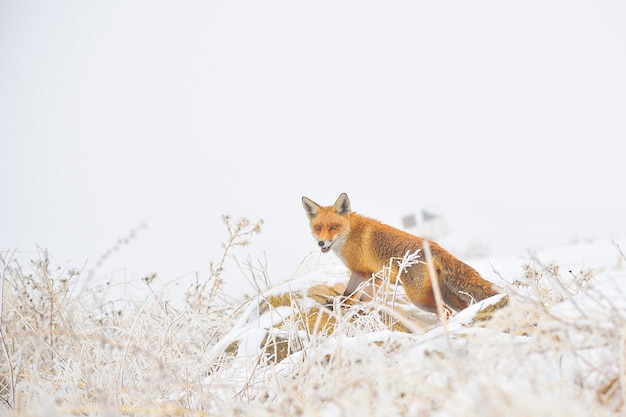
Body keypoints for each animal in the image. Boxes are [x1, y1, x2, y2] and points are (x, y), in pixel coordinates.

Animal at [302, 192, 498, 312]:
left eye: (333, 227)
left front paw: (337, 307)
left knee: (446, 312)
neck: (350, 234)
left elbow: (348, 295)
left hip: (418, 298)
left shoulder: (359, 272)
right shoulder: (376, 277)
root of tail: (435, 245)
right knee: (462, 308)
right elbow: (364, 299)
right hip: (444, 294)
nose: (321, 243)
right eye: (318, 228)